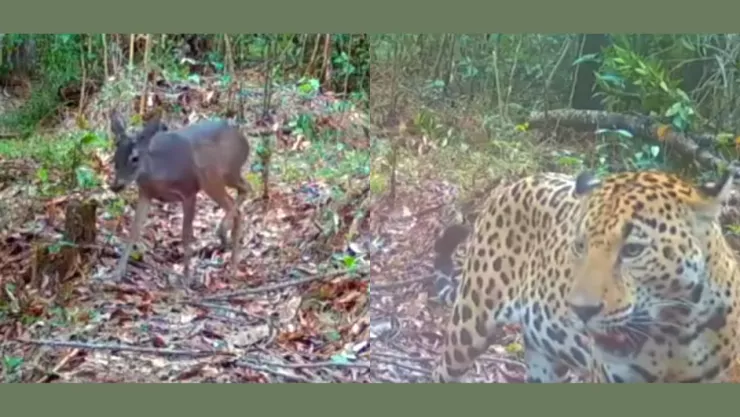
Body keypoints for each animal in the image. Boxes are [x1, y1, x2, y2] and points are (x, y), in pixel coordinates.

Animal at [431, 167, 740, 383]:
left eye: (633, 250)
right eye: (580, 245)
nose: (581, 310)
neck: (675, 337)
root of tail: (518, 182)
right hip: (469, 325)